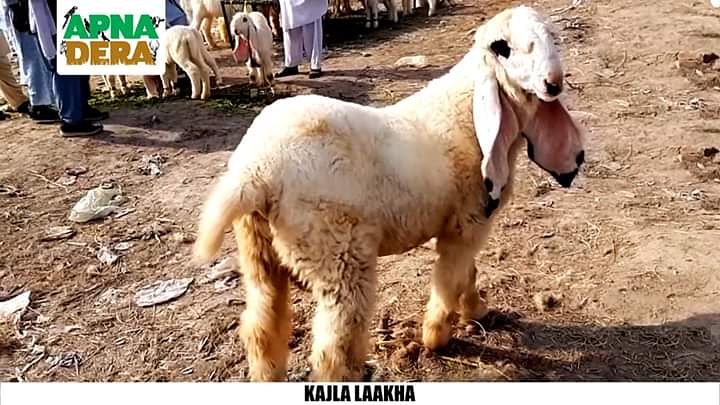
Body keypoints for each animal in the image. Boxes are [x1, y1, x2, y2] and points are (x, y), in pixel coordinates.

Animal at [193, 5, 585, 381]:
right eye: (503, 48)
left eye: (553, 38)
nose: (553, 84)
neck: (466, 112)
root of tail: (256, 170)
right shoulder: (467, 225)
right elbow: (450, 281)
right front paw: (438, 337)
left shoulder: (462, 223)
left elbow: (467, 274)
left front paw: (476, 312)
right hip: (339, 255)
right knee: (332, 348)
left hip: (259, 252)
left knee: (261, 328)